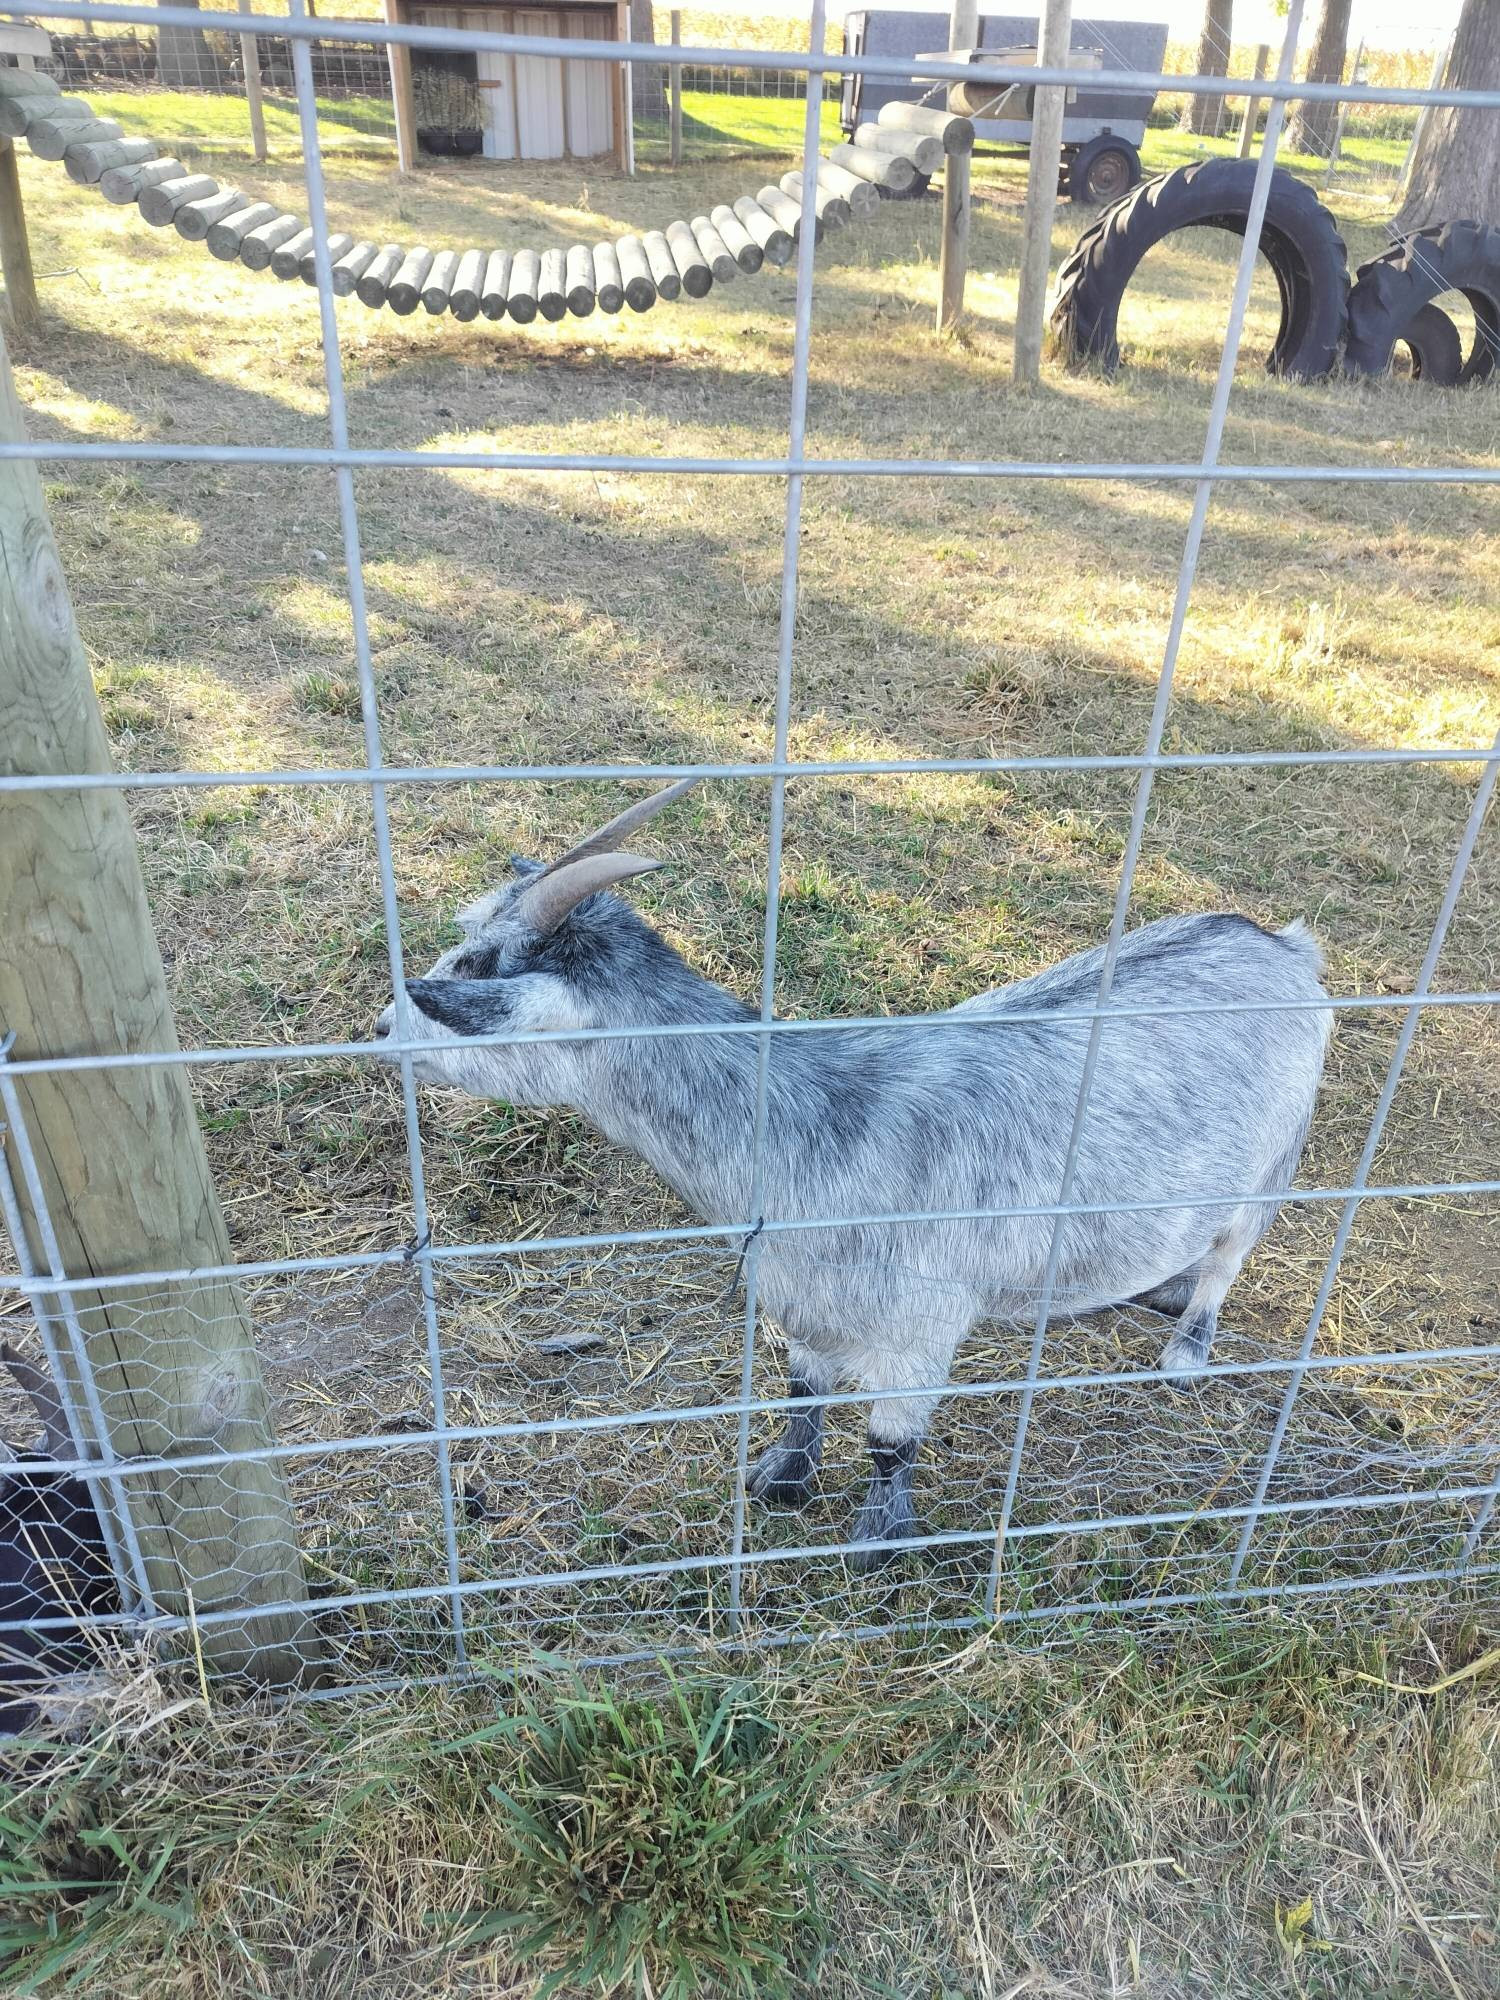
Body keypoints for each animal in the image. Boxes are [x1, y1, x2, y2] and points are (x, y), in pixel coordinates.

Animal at [382, 780, 1336, 1560]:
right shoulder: (802, 1299)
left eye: (472, 970)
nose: (386, 1027)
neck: (814, 1123)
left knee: (1229, 1257)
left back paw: (1187, 1345)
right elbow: (802, 1393)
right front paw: (780, 1480)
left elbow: (890, 1442)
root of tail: (1284, 945)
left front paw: (875, 1544)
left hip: (1273, 1161)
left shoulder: (922, 1326)